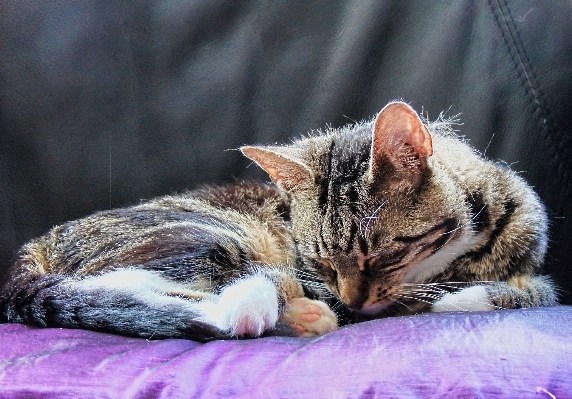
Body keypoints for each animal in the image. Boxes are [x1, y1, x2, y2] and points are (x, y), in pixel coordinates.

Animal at [0, 101, 556, 342]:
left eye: (383, 254)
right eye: (322, 261)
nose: (356, 299)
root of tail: (31, 250)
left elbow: (535, 289)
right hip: (208, 233)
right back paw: (268, 307)